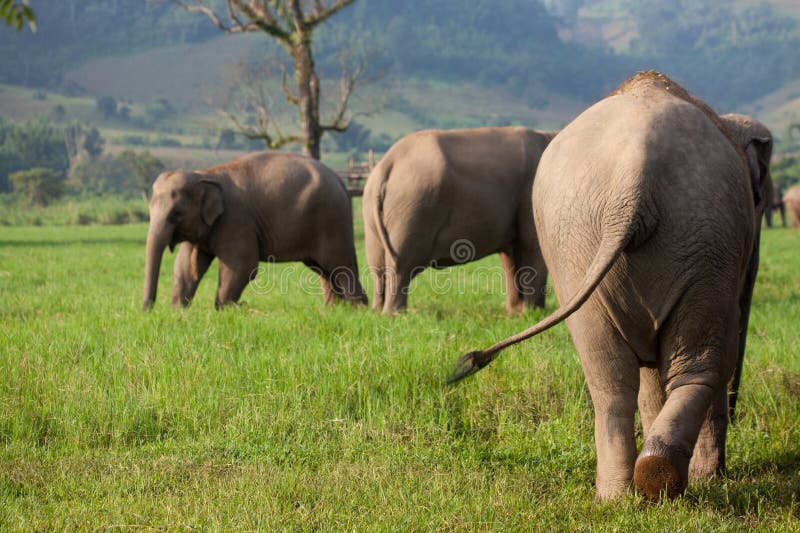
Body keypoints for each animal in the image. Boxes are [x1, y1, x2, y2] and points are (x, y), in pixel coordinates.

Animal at [142, 151, 367, 310]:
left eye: (176, 214)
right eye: (149, 211)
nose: (147, 310)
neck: (206, 174)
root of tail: (341, 182)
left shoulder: (236, 220)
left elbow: (242, 266)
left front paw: (224, 310)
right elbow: (185, 266)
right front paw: (178, 310)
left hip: (332, 221)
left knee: (340, 265)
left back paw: (358, 310)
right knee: (324, 269)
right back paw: (334, 309)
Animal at [362, 126, 556, 315]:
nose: (529, 310)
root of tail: (388, 163)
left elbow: (510, 256)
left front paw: (515, 313)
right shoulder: (532, 196)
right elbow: (532, 245)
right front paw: (532, 313)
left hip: (375, 213)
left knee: (378, 265)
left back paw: (377, 311)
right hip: (414, 209)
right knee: (401, 264)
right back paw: (395, 314)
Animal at [449, 72, 773, 501]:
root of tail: (632, 181)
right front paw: (711, 477)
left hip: (582, 248)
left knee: (608, 375)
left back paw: (622, 493)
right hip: (704, 244)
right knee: (701, 364)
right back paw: (659, 480)